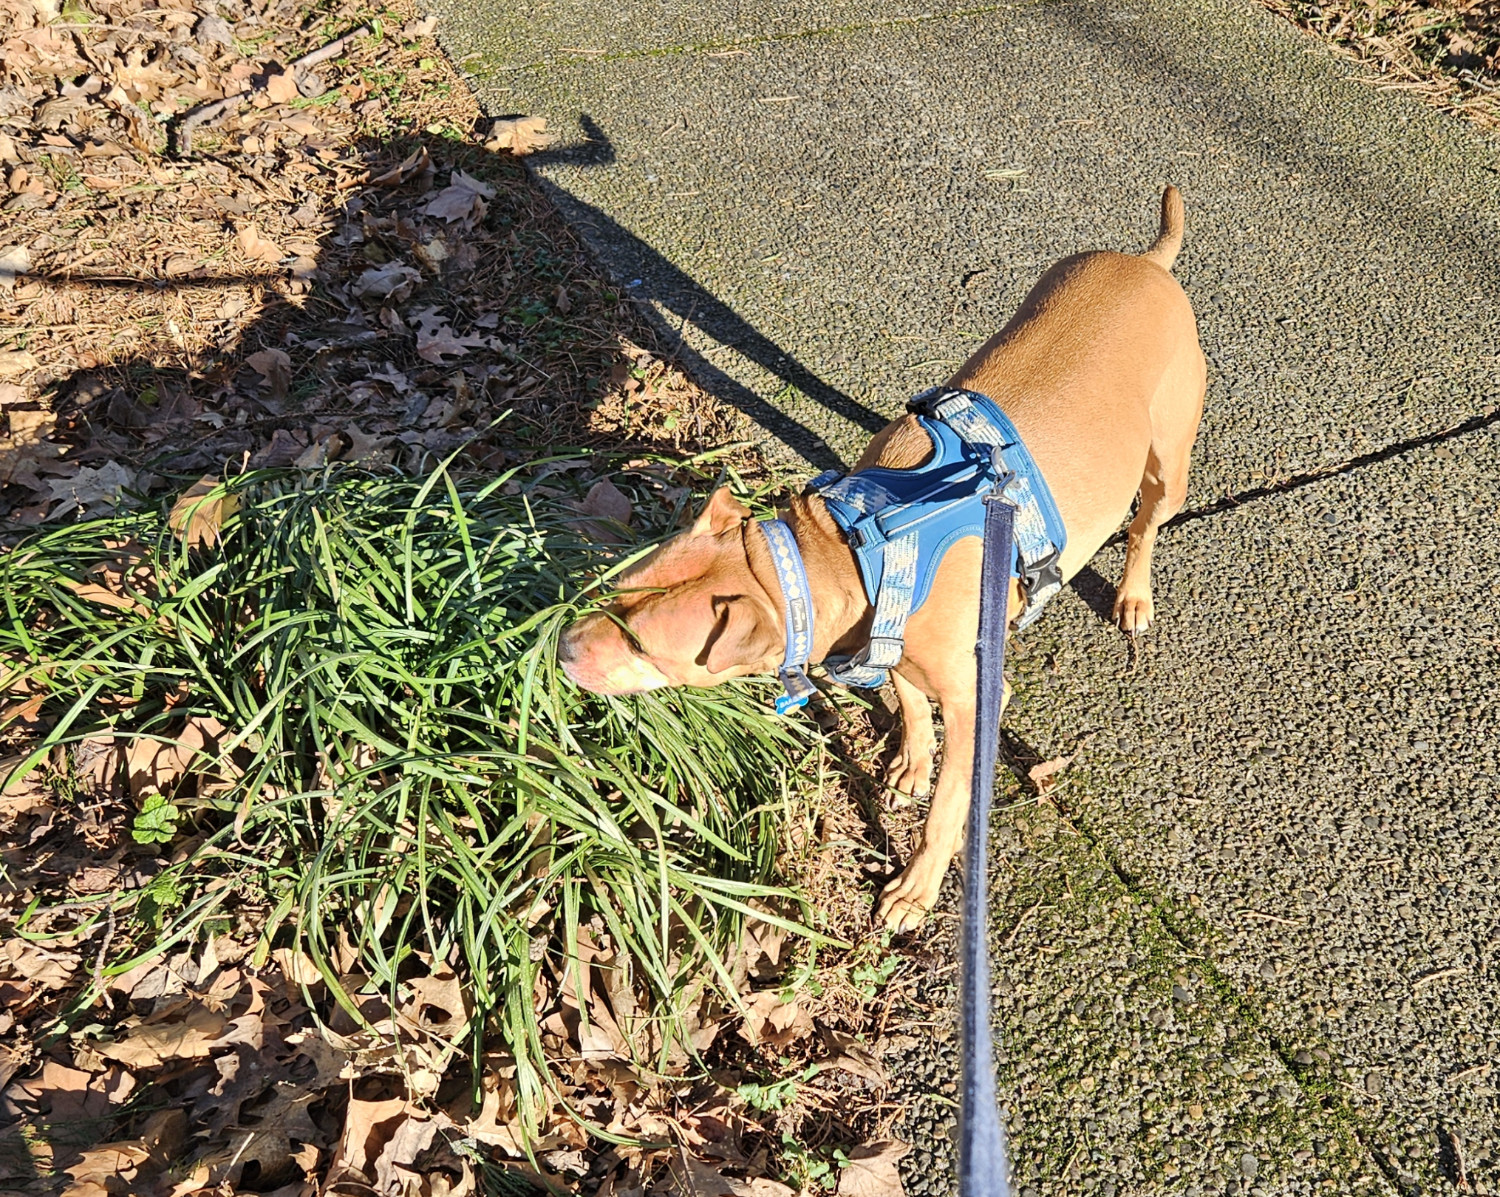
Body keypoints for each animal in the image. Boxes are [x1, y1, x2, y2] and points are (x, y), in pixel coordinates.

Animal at [561, 189, 1206, 936]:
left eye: (644, 648)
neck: (848, 548)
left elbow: (949, 806)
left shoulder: (976, 699)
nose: (561, 646)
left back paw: (1133, 595)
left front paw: (916, 888)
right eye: (615, 590)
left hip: (1168, 459)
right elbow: (908, 699)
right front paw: (911, 763)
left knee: (1146, 524)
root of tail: (1149, 263)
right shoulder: (886, 636)